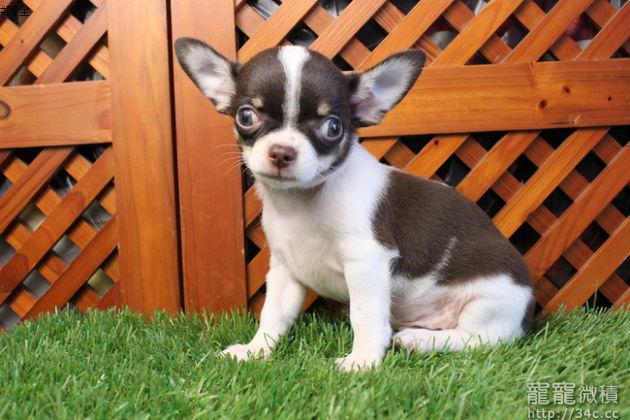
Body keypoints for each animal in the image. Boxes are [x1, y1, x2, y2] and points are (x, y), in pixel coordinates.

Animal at [175, 38, 535, 372]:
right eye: (246, 116)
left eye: (333, 127)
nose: (281, 152)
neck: (302, 202)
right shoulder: (285, 271)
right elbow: (273, 314)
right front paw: (256, 351)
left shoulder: (367, 264)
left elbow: (365, 316)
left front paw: (362, 361)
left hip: (490, 302)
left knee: (479, 340)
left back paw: (420, 341)